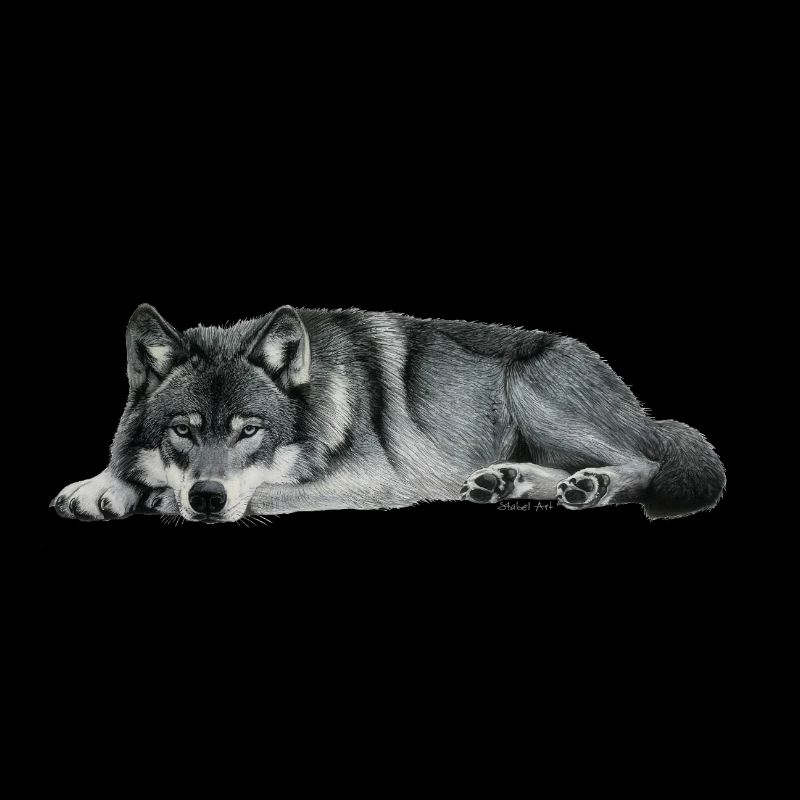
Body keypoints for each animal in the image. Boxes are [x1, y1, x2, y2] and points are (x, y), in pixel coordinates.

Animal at [51, 304, 725, 523]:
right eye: (183, 429)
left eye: (250, 431)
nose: (208, 498)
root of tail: (643, 409)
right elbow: (126, 467)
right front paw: (101, 487)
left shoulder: (373, 481)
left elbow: (263, 490)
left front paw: (157, 498)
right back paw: (506, 482)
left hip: (535, 391)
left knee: (644, 464)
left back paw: (591, 485)